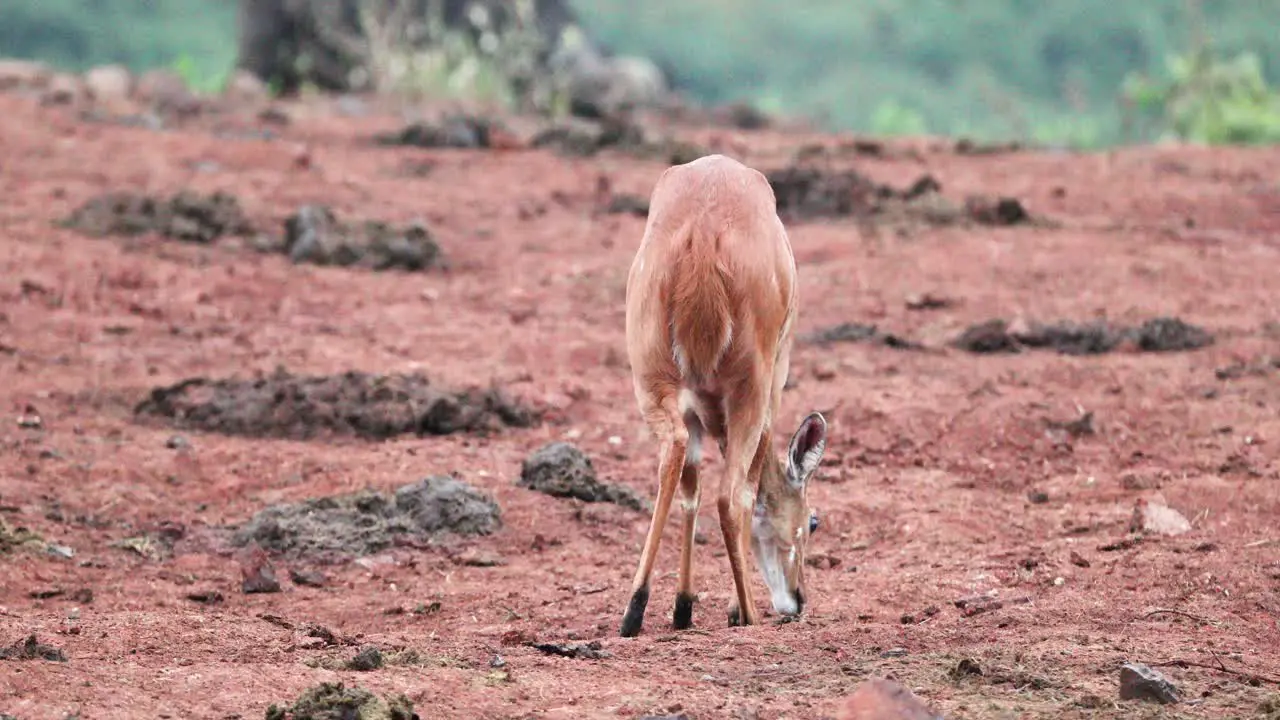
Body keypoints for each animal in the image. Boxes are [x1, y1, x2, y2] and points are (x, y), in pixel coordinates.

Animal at [619, 152, 829, 632]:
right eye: (813, 522)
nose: (798, 600)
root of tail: (702, 238)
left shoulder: (694, 409)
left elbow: (690, 487)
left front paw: (683, 606)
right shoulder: (770, 395)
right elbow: (746, 494)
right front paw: (733, 607)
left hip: (652, 380)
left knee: (674, 456)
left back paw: (634, 609)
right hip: (752, 389)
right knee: (731, 495)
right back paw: (748, 614)